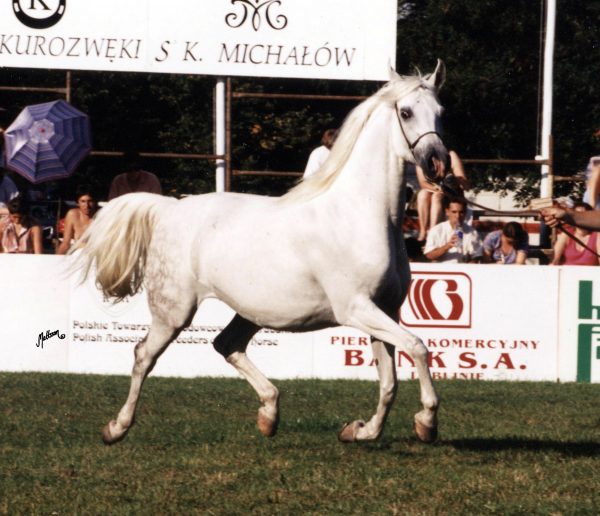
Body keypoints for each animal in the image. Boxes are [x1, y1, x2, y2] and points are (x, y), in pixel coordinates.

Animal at [75, 62, 448, 446]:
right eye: (406, 112)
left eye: (440, 112)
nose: (437, 164)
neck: (360, 215)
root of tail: (169, 209)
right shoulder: (357, 309)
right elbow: (418, 347)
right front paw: (426, 422)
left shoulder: (385, 310)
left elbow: (389, 382)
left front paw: (360, 431)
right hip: (173, 310)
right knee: (144, 355)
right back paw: (116, 428)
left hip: (250, 311)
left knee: (226, 345)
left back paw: (269, 413)